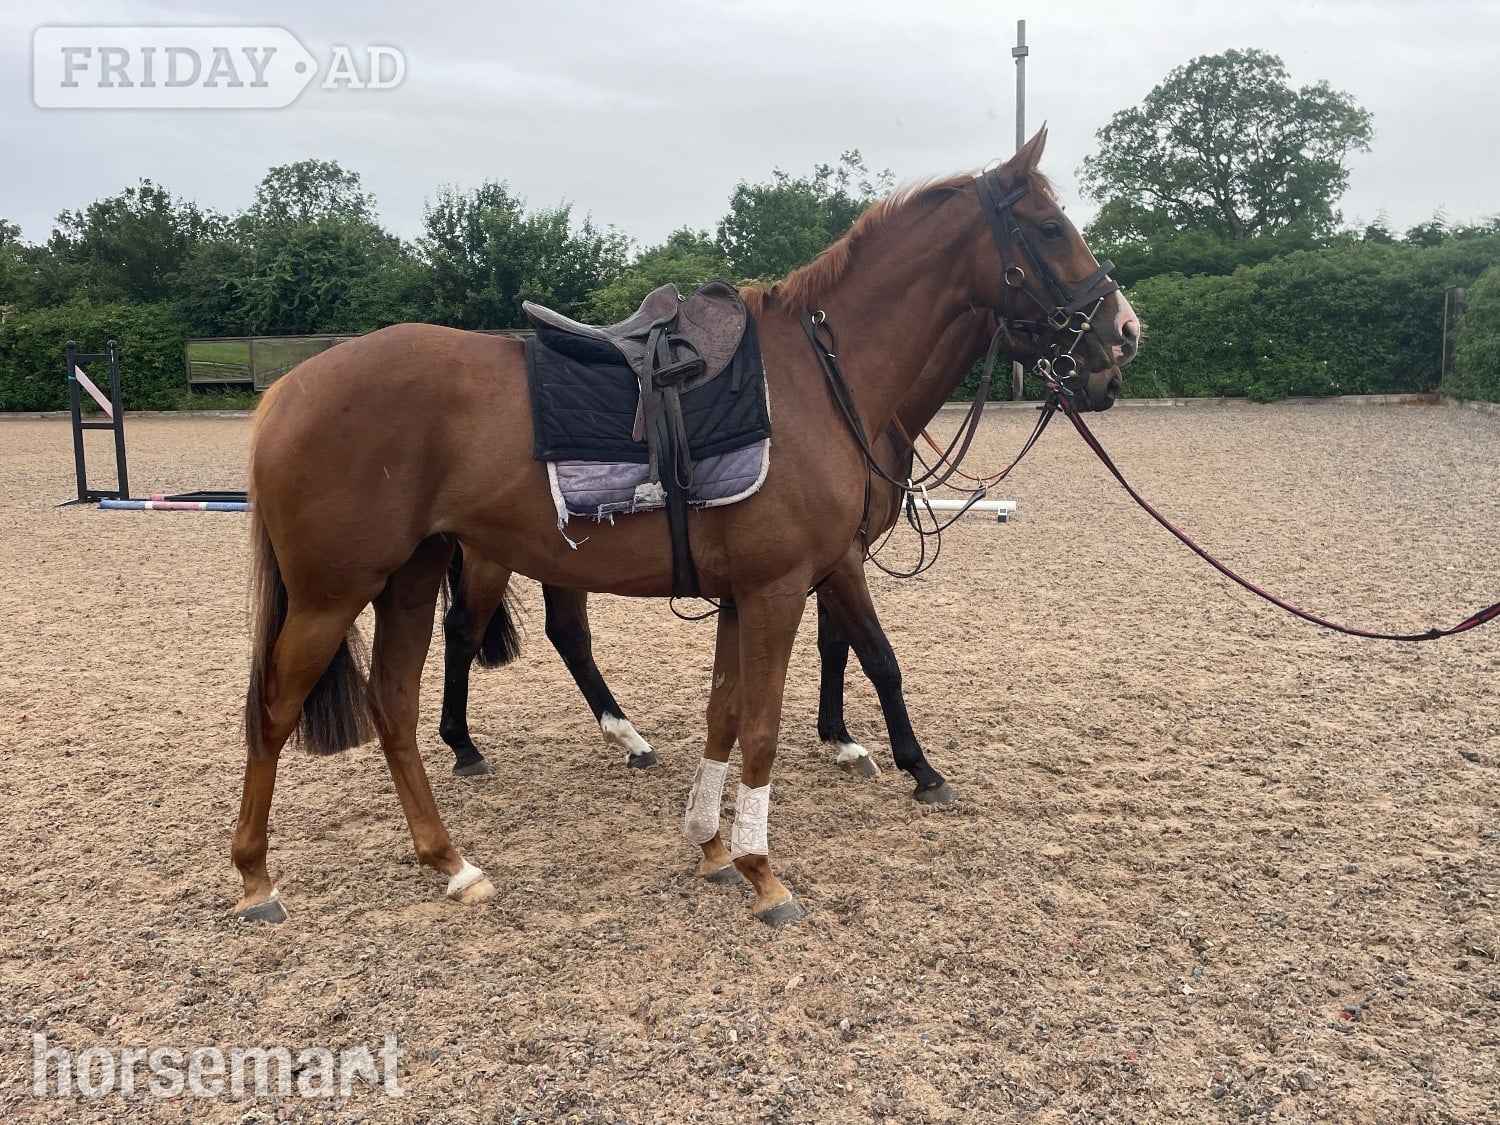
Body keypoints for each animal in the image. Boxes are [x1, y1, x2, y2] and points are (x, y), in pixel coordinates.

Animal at [435, 307, 1026, 804]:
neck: (841, 400)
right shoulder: (838, 560)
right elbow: (872, 653)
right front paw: (913, 766)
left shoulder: (830, 558)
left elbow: (836, 644)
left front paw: (840, 738)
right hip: (492, 555)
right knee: (464, 628)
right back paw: (464, 745)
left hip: (557, 555)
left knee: (567, 634)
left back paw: (627, 738)